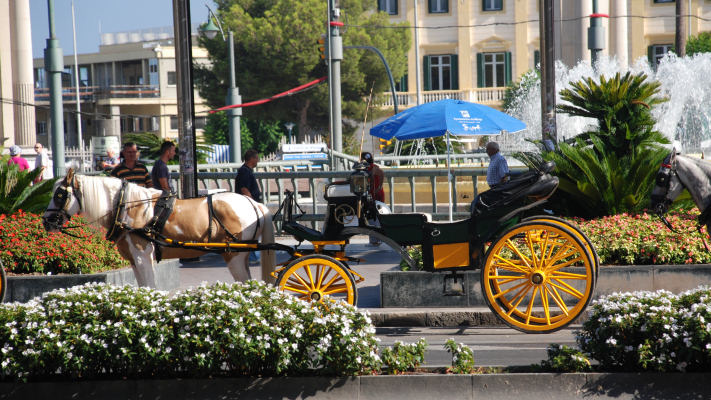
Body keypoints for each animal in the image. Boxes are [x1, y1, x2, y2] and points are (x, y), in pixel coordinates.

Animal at [42, 169, 276, 288]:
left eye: (59, 194)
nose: (46, 221)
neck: (127, 207)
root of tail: (254, 203)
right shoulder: (134, 261)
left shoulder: (142, 257)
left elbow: (151, 288)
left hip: (234, 255)